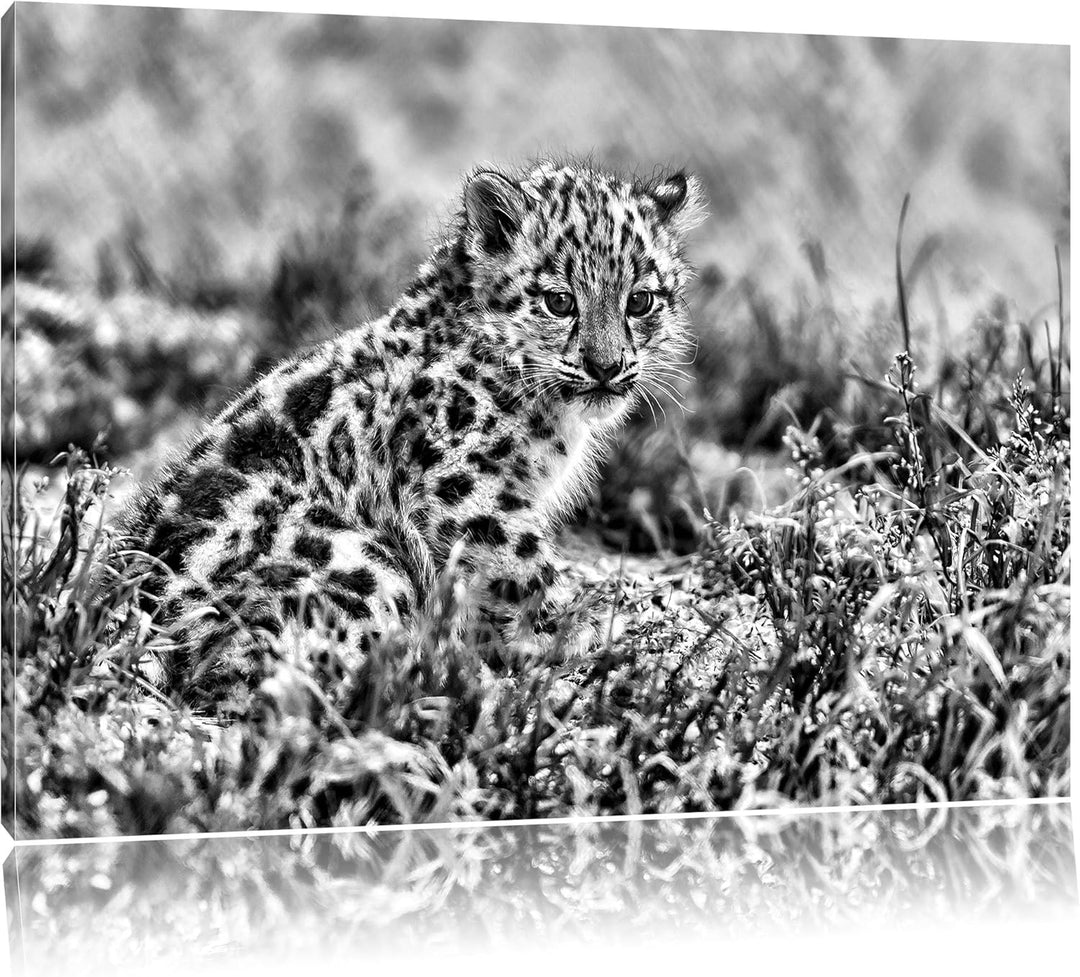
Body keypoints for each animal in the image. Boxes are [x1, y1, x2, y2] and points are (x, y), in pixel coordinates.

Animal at [114, 158, 707, 717]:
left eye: (641, 301)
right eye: (559, 301)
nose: (607, 367)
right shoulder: (464, 491)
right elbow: (527, 567)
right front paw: (582, 631)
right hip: (365, 563)